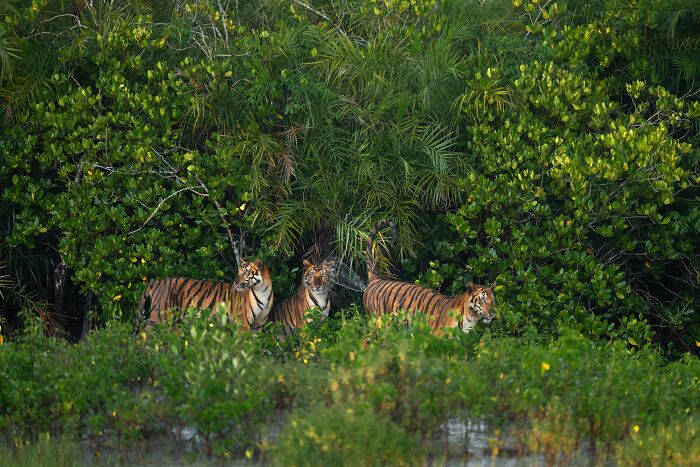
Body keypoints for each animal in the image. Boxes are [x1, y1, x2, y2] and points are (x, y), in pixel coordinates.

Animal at [135, 258, 274, 333]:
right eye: (238, 272)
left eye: (245, 273)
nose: (235, 283)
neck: (262, 290)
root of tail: (156, 282)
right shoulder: (242, 324)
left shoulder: (257, 326)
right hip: (158, 319)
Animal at [363, 220, 495, 333]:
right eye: (483, 300)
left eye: (493, 301)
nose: (493, 313)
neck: (470, 319)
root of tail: (376, 279)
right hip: (380, 325)